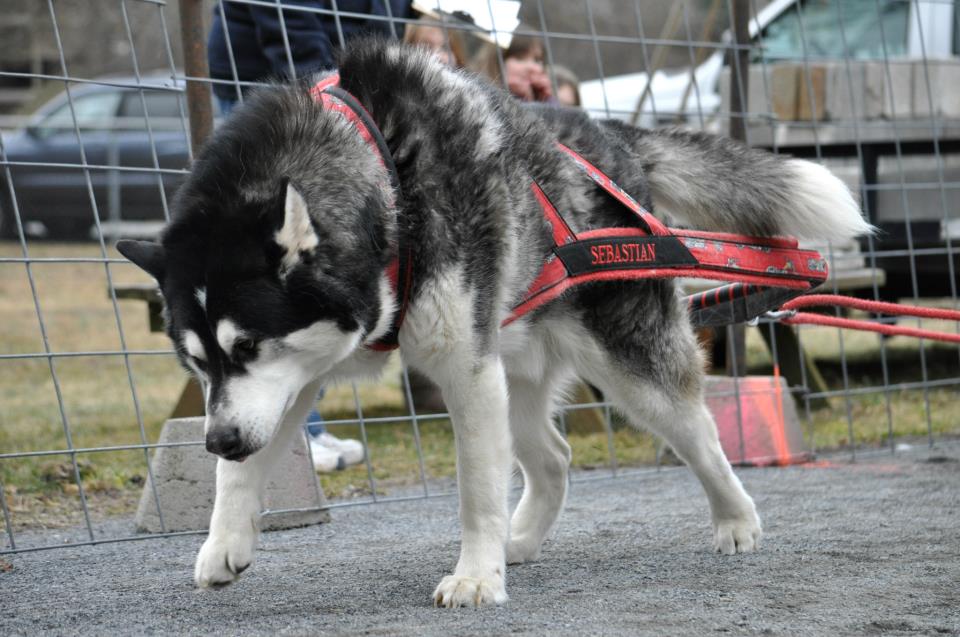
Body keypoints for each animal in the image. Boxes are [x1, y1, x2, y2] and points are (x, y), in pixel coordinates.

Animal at [116, 39, 868, 608]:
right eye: (195, 361)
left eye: (246, 344)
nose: (218, 440)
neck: (385, 174)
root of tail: (606, 136)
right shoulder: (293, 379)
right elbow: (241, 474)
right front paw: (223, 541)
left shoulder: (463, 369)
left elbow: (477, 490)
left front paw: (477, 576)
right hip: (516, 371)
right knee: (556, 456)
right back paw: (522, 539)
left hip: (625, 366)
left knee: (699, 432)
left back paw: (736, 519)